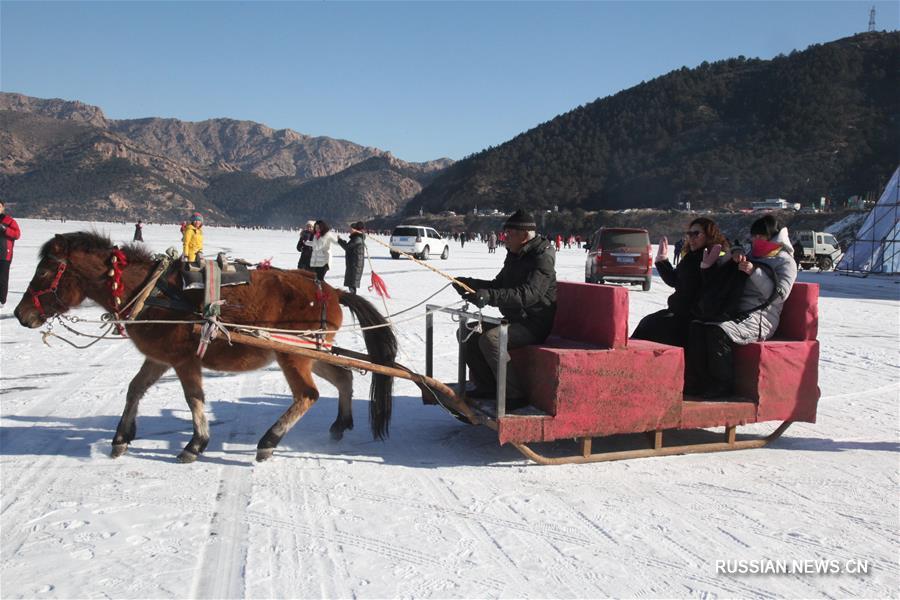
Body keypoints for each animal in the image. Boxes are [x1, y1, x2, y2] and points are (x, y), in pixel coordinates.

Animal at [14, 232, 398, 462]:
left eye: (45, 272)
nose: (20, 314)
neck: (153, 293)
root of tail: (331, 290)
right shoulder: (160, 358)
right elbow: (134, 389)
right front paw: (122, 436)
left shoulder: (184, 361)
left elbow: (193, 398)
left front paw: (195, 444)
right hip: (307, 351)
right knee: (344, 377)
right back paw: (340, 425)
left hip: (292, 355)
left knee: (307, 394)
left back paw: (268, 442)